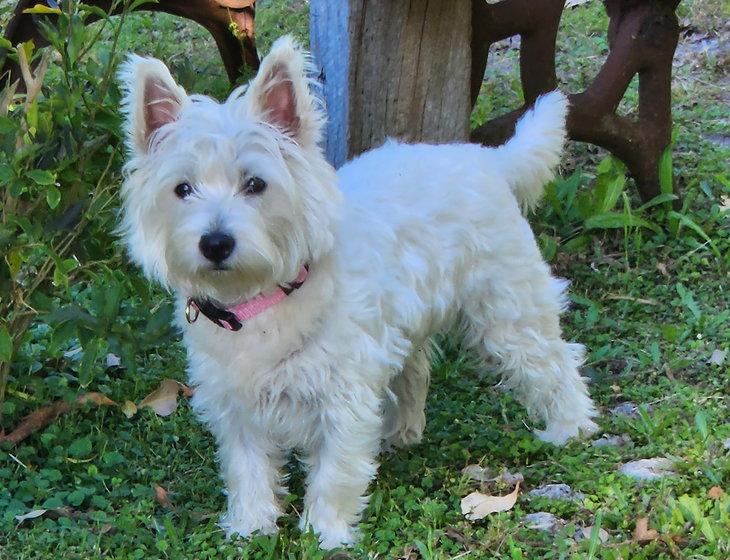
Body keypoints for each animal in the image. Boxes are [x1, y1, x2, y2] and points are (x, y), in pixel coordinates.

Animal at [118, 37, 596, 548]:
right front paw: (251, 527)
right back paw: (402, 431)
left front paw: (324, 534)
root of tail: (485, 158)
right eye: (182, 189)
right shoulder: (235, 403)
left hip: (508, 308)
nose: (215, 243)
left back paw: (570, 427)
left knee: (553, 360)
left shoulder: (342, 395)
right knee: (415, 371)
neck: (261, 301)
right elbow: (247, 468)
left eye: (256, 184)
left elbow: (335, 470)